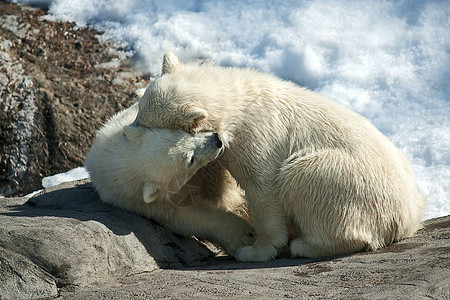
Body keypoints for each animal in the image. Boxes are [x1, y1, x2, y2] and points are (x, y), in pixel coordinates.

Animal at [84, 102, 253, 256]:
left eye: (182, 133)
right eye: (190, 160)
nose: (216, 139)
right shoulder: (146, 202)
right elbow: (189, 216)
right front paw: (243, 235)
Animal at [131, 51, 426, 262]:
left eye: (143, 121)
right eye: (139, 113)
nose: (128, 129)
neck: (238, 103)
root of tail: (404, 221)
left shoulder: (258, 136)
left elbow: (263, 188)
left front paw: (254, 251)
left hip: (348, 181)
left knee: (305, 177)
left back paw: (305, 245)